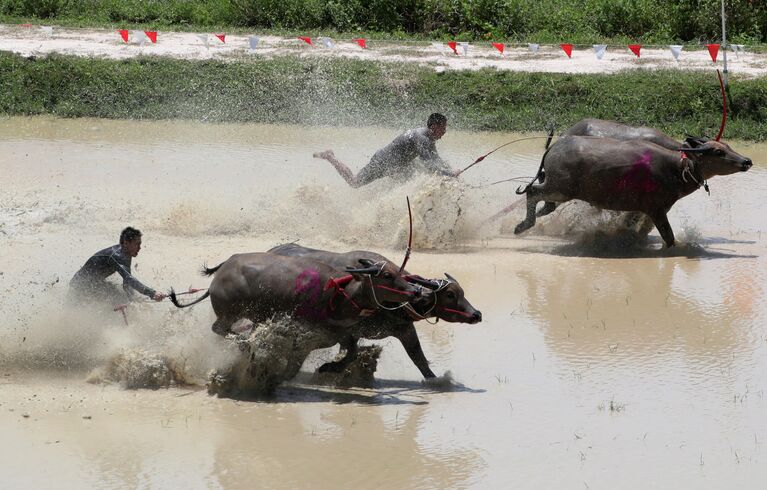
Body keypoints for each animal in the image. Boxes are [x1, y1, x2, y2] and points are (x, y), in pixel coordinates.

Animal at [171, 253, 420, 336]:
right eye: (386, 275)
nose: (416, 290)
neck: (338, 293)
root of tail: (218, 276)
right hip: (228, 314)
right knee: (219, 329)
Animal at [268, 243, 480, 378]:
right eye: (451, 294)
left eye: (462, 292)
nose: (477, 314)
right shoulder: (349, 331)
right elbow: (350, 354)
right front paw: (331, 368)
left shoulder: (405, 331)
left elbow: (419, 359)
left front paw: (436, 381)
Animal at [512, 135, 752, 247]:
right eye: (718, 152)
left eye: (728, 146)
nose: (747, 161)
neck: (677, 169)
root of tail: (554, 148)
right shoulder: (656, 210)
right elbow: (669, 237)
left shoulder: (649, 210)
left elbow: (638, 230)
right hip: (560, 189)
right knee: (532, 192)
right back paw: (523, 225)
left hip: (557, 190)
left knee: (545, 203)